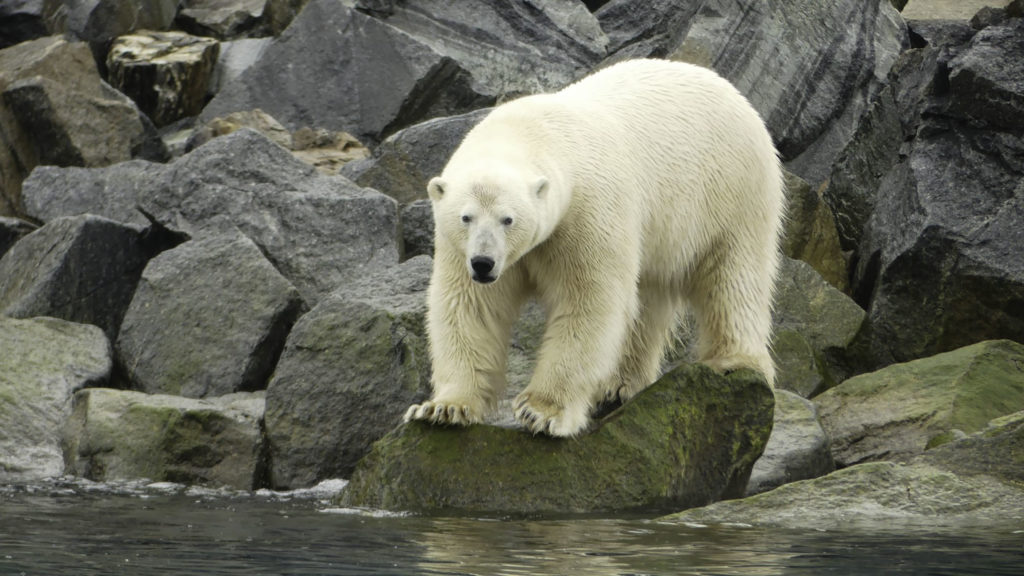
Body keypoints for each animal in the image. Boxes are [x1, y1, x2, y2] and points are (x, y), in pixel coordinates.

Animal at [401, 58, 782, 434]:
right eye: (466, 217)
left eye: (508, 219)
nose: (483, 263)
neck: (533, 131)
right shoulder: (457, 248)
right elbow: (471, 307)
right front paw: (443, 408)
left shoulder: (587, 212)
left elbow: (588, 299)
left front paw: (542, 411)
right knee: (648, 297)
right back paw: (619, 384)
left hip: (732, 192)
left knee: (733, 276)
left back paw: (733, 362)